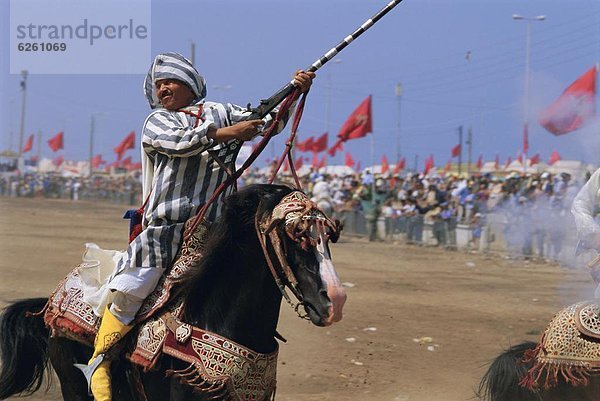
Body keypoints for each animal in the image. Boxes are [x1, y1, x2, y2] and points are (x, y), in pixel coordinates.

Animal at [0, 184, 346, 400]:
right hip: (73, 385)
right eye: (294, 233)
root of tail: (50, 301)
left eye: (329, 234)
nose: (335, 300)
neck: (217, 319)